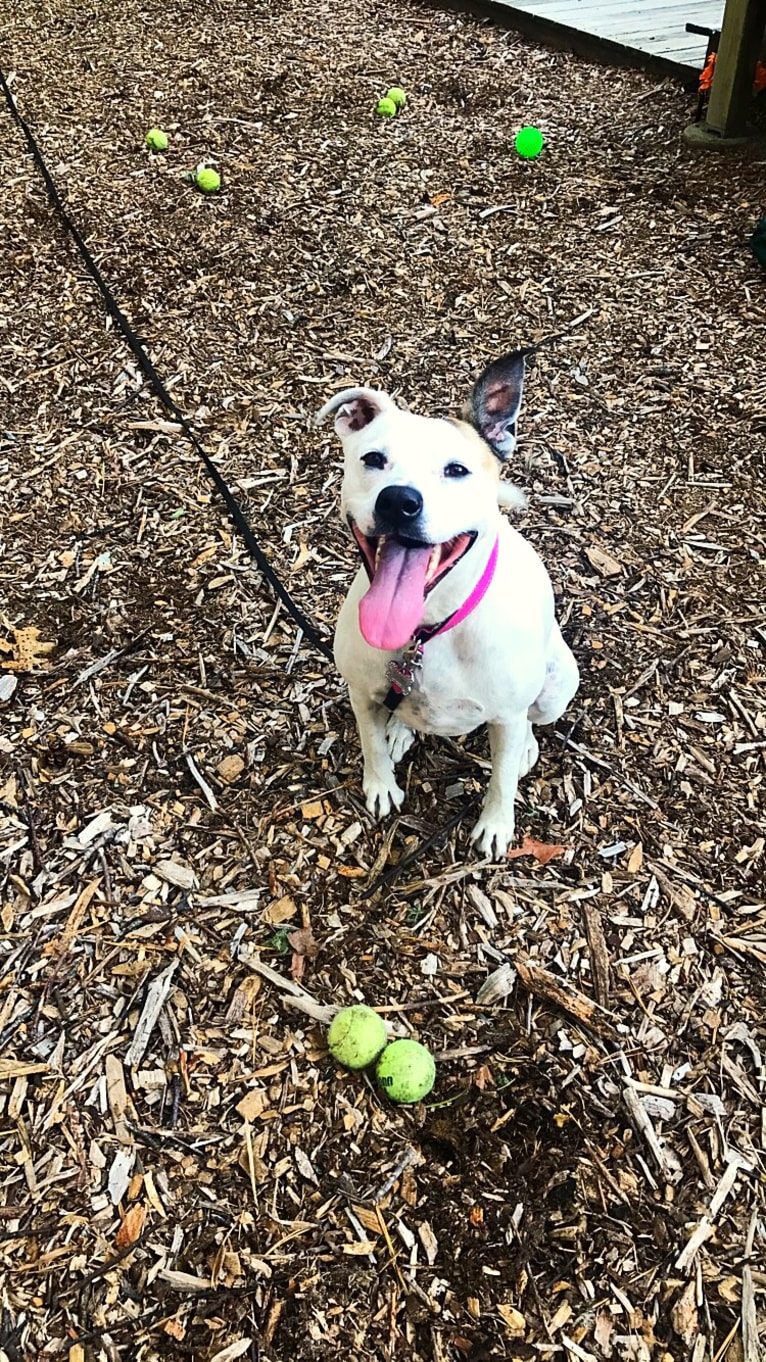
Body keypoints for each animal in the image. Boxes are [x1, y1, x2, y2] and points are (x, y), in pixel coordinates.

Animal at [313, 356, 575, 855]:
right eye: (373, 459)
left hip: (556, 685)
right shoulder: (360, 691)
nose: (399, 501)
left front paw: (496, 825)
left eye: (456, 470)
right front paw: (381, 784)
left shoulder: (507, 717)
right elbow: (370, 744)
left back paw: (527, 747)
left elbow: (501, 780)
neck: (428, 629)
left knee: (532, 721)